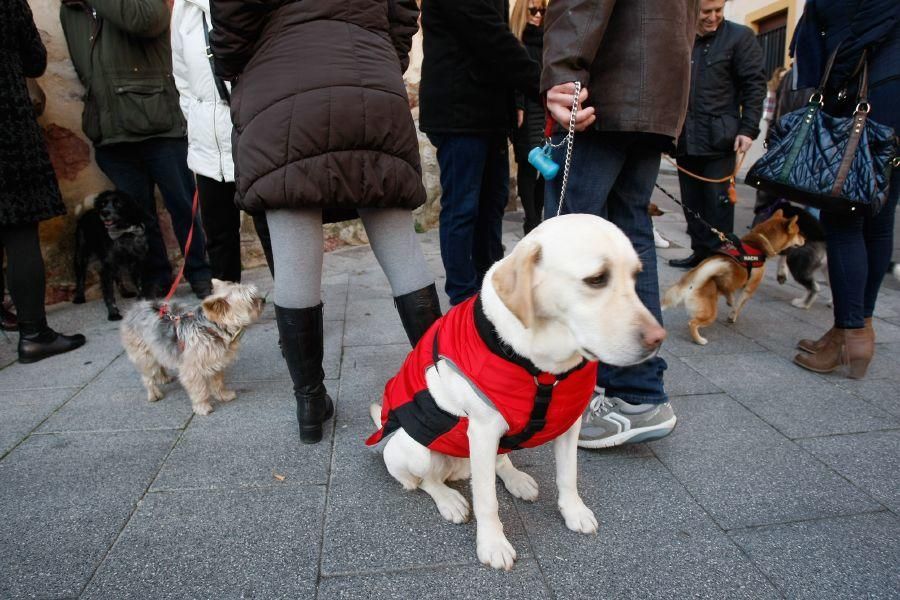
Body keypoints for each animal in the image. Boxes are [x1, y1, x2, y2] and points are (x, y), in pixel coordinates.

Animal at [73, 191, 149, 322]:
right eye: (103, 204)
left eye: (118, 203)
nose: (104, 212)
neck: (123, 234)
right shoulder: (107, 266)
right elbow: (109, 293)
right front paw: (113, 313)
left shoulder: (136, 261)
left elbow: (140, 285)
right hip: (81, 255)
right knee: (80, 277)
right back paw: (79, 297)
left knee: (118, 277)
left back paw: (125, 292)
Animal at [119, 280, 262, 412]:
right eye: (252, 300)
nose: (264, 299)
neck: (211, 327)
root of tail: (134, 309)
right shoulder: (192, 370)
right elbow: (199, 389)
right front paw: (202, 407)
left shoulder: (215, 362)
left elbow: (218, 382)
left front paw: (223, 395)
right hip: (144, 355)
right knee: (147, 375)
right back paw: (153, 393)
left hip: (158, 347)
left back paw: (163, 378)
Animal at [368, 213, 668, 568]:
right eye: (596, 279)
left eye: (636, 276)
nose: (658, 339)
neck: (543, 369)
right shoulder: (483, 431)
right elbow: (487, 500)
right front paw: (493, 544)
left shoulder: (569, 423)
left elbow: (568, 475)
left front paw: (574, 512)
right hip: (419, 451)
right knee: (427, 481)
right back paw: (450, 501)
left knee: (499, 463)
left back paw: (517, 480)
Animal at [664, 210, 804, 342]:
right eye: (798, 232)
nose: (805, 239)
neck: (757, 244)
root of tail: (695, 279)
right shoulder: (749, 289)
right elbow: (738, 305)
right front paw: (732, 315)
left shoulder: (732, 285)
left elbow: (729, 293)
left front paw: (729, 301)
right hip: (710, 313)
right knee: (692, 323)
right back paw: (699, 340)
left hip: (673, 297)